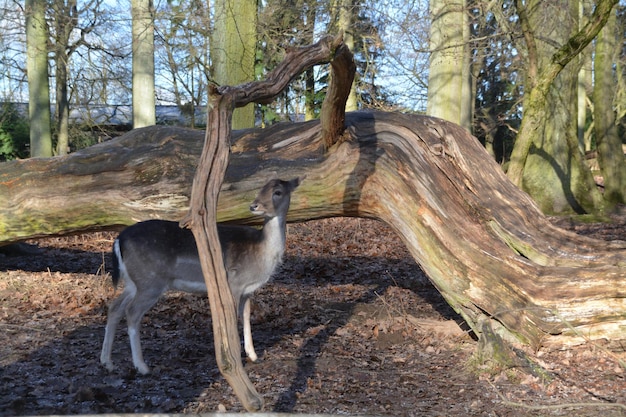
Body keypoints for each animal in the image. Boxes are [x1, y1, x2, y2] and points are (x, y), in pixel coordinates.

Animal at [100, 176, 300, 374]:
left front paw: (253, 355)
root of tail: (119, 239)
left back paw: (107, 362)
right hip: (150, 281)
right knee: (132, 312)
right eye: (261, 189)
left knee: (115, 307)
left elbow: (246, 317)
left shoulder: (248, 289)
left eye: (277, 192)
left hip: (133, 282)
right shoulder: (234, 282)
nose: (254, 206)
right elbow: (233, 319)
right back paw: (141, 366)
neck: (262, 253)